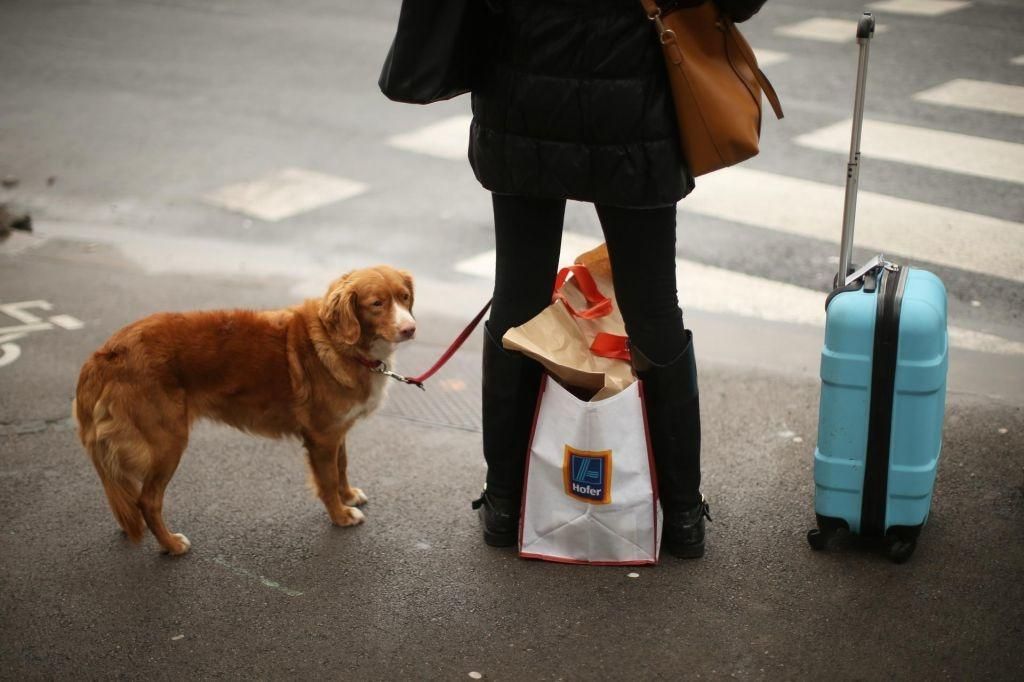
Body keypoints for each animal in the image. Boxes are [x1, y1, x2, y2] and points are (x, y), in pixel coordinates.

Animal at [73, 264, 415, 552]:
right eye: (377, 303)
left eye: (405, 297)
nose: (410, 328)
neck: (339, 343)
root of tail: (104, 355)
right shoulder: (321, 436)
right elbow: (328, 480)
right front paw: (341, 515)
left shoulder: (336, 431)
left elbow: (341, 466)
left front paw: (348, 496)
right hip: (167, 442)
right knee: (148, 501)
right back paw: (171, 545)